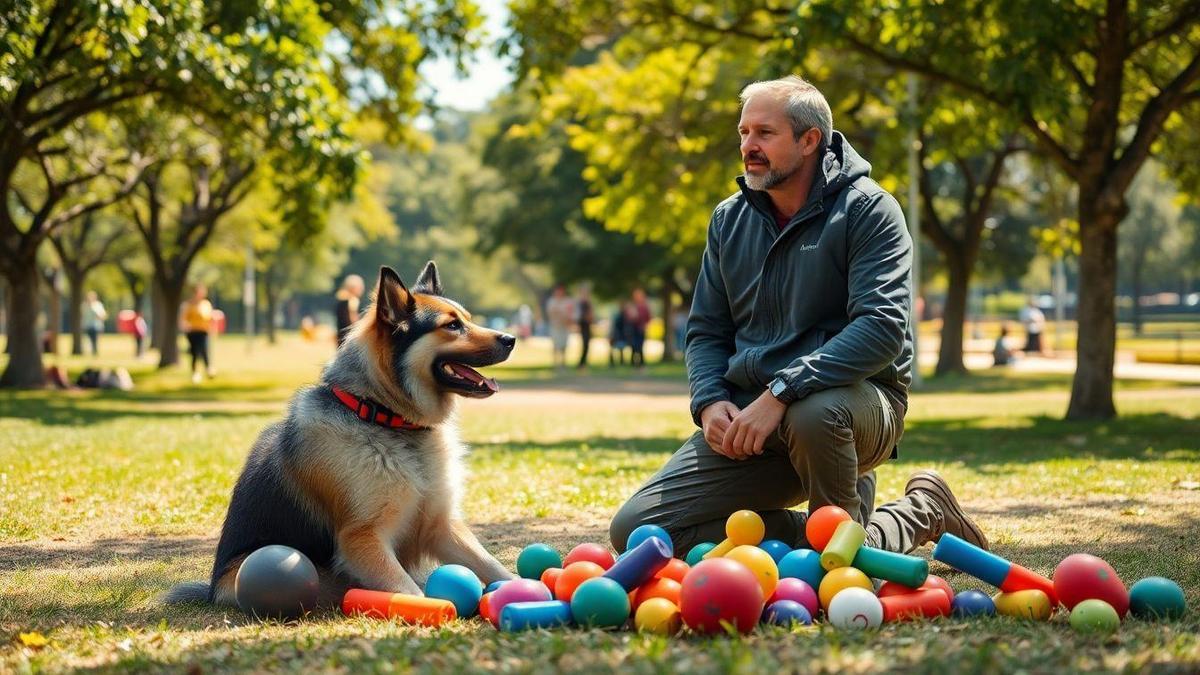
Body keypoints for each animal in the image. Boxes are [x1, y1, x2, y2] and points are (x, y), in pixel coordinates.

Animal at [168, 258, 516, 605]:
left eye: (467, 318)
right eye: (452, 326)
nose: (511, 339)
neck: (385, 417)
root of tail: (213, 588)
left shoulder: (441, 526)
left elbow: (492, 565)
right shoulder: (362, 537)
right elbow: (408, 590)